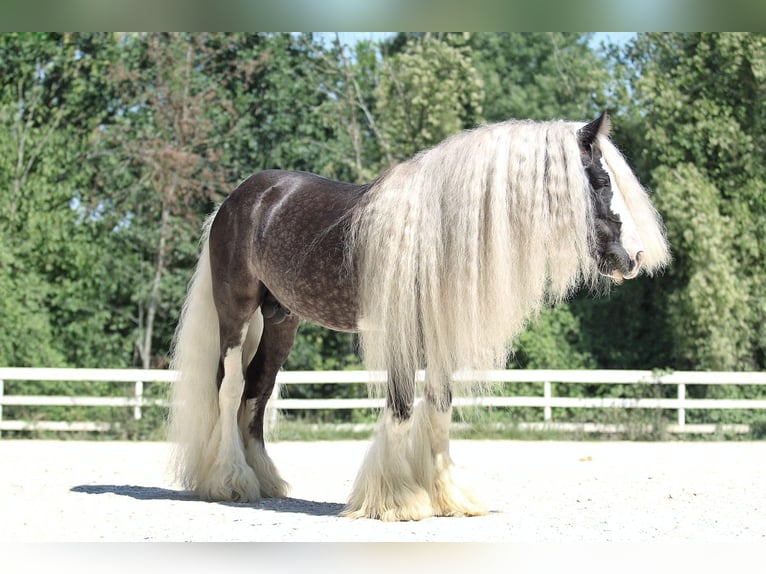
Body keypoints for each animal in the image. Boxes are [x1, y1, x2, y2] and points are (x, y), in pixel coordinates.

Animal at [170, 112, 672, 520]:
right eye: (600, 181)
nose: (633, 258)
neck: (437, 233)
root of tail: (238, 200)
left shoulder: (441, 335)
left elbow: (438, 409)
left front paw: (447, 498)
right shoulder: (401, 333)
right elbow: (401, 408)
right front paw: (396, 502)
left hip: (281, 322)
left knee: (257, 392)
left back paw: (265, 481)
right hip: (236, 312)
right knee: (230, 386)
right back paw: (231, 481)